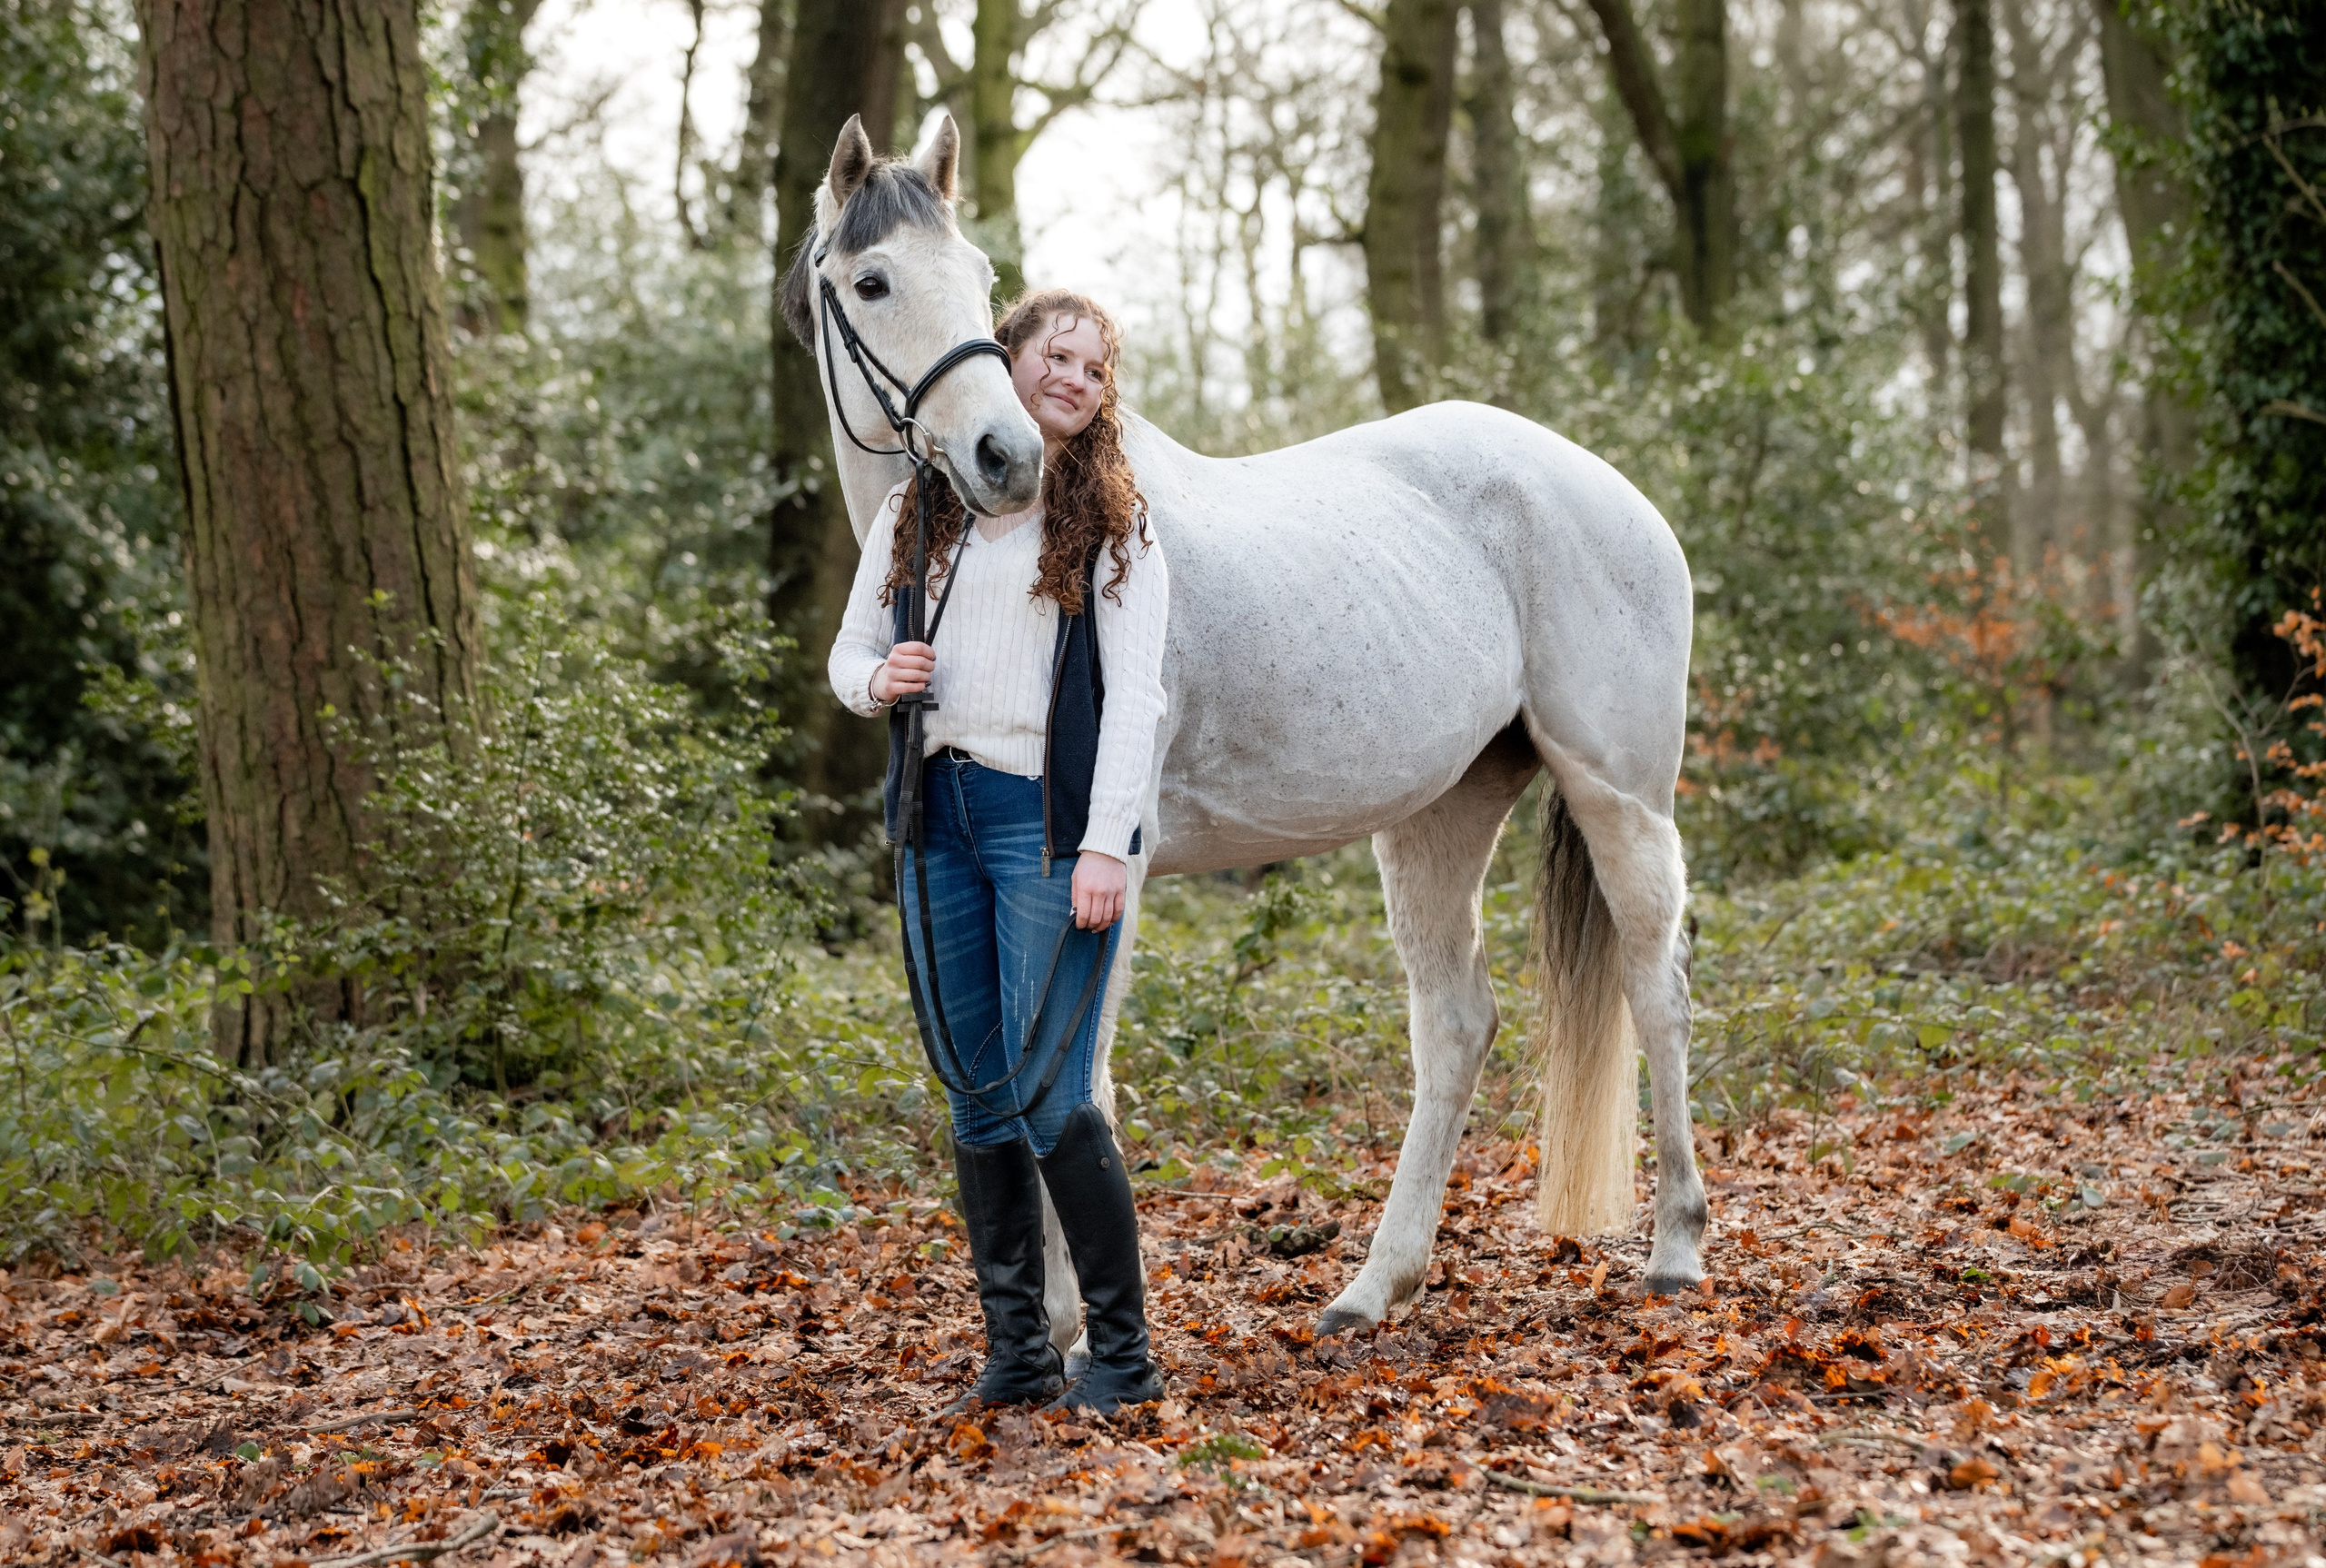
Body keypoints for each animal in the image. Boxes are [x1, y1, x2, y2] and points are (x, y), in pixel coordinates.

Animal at [781, 114, 1708, 1352]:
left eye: (979, 277)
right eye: (873, 281)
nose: (1003, 457)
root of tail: (1614, 490)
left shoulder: (1101, 866)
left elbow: (1075, 1075)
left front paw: (1082, 1328)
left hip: (1620, 796)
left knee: (1657, 988)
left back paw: (1674, 1251)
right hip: (1440, 814)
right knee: (1456, 1021)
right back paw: (1374, 1286)